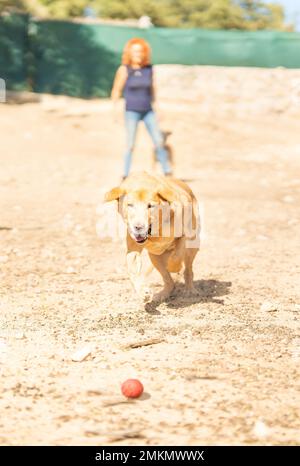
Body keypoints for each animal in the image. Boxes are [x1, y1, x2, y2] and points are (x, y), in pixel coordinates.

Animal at [104, 173, 200, 304]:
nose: (138, 227)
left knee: (188, 270)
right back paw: (162, 295)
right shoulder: (133, 249)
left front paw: (174, 267)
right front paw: (142, 291)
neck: (156, 233)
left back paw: (190, 290)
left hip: (192, 248)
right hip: (155, 258)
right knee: (169, 281)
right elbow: (132, 270)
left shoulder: (184, 236)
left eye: (150, 206)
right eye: (130, 205)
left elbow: (176, 256)